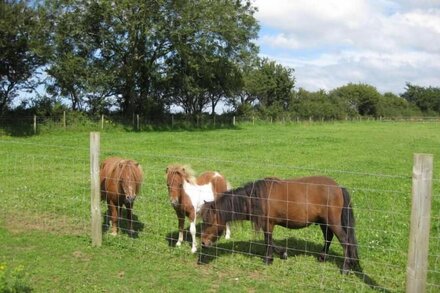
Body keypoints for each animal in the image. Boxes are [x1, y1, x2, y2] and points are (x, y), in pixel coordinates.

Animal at [201, 175, 360, 272]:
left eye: (209, 222)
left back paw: (346, 267)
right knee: (328, 237)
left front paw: (269, 259)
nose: (203, 243)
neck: (256, 198)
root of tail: (338, 187)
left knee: (345, 240)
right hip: (323, 222)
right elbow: (270, 242)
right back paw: (323, 257)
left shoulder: (268, 224)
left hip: (332, 222)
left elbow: (268, 241)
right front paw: (282, 253)